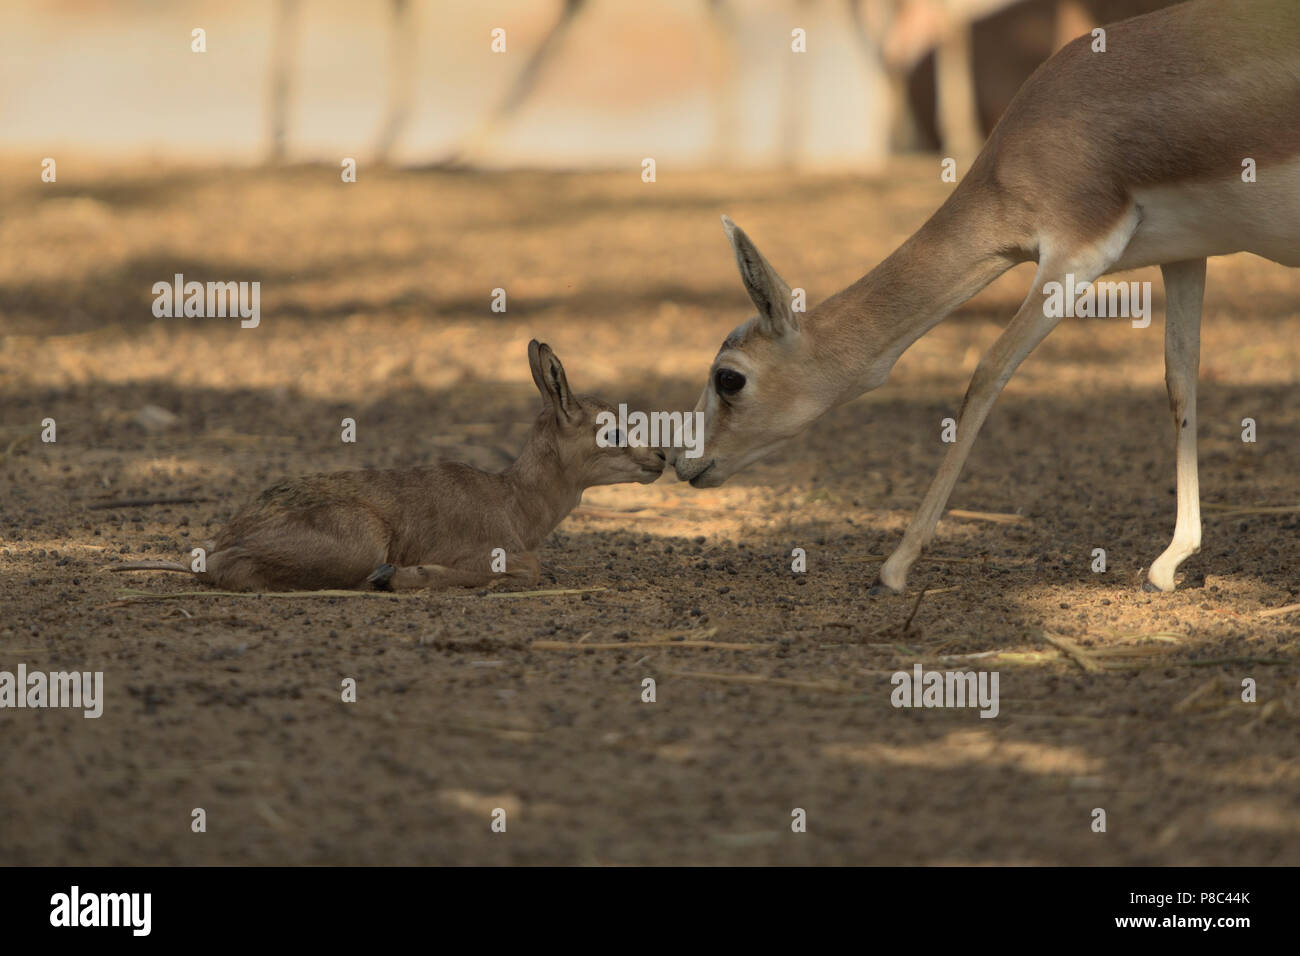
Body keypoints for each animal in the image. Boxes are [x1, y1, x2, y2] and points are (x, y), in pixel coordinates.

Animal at [112, 341, 665, 591]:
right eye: (612, 431)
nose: (660, 458)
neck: (514, 502)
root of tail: (222, 540)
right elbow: (528, 566)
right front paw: (406, 575)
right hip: (362, 539)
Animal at [671, 0, 1300, 594]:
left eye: (729, 378)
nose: (684, 463)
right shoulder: (1184, 254)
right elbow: (1180, 379)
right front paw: (1170, 562)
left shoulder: (1075, 254)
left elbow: (988, 371)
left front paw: (895, 567)